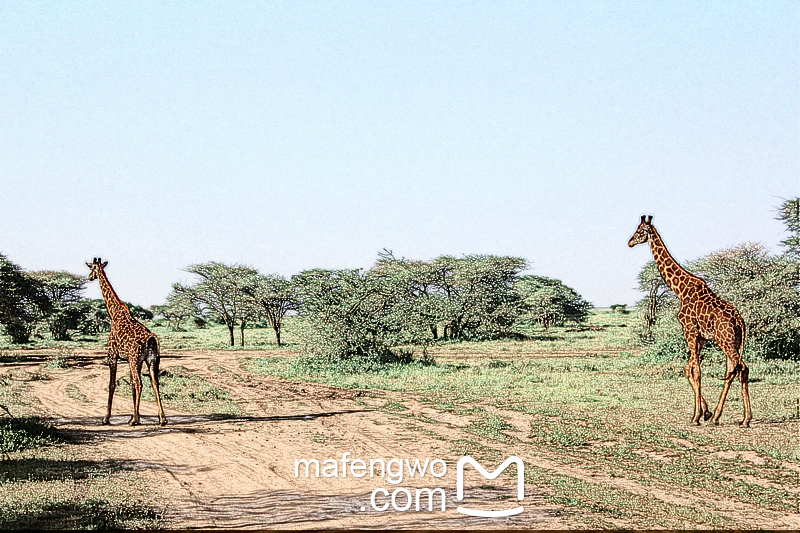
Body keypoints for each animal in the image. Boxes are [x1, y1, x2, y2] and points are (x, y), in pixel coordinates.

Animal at [86, 258, 167, 428]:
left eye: (92, 268)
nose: (89, 277)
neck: (114, 313)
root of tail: (151, 339)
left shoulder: (113, 355)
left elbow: (112, 384)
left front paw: (106, 418)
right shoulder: (134, 360)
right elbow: (130, 384)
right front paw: (136, 416)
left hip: (136, 359)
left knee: (140, 383)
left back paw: (134, 420)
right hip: (151, 360)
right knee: (154, 382)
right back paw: (162, 418)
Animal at [628, 214, 752, 426]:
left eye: (640, 231)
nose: (629, 242)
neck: (681, 290)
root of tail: (740, 320)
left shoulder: (689, 330)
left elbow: (696, 371)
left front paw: (696, 416)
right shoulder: (700, 337)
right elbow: (688, 369)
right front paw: (705, 412)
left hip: (725, 340)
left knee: (740, 368)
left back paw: (738, 418)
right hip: (733, 341)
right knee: (736, 368)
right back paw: (731, 418)